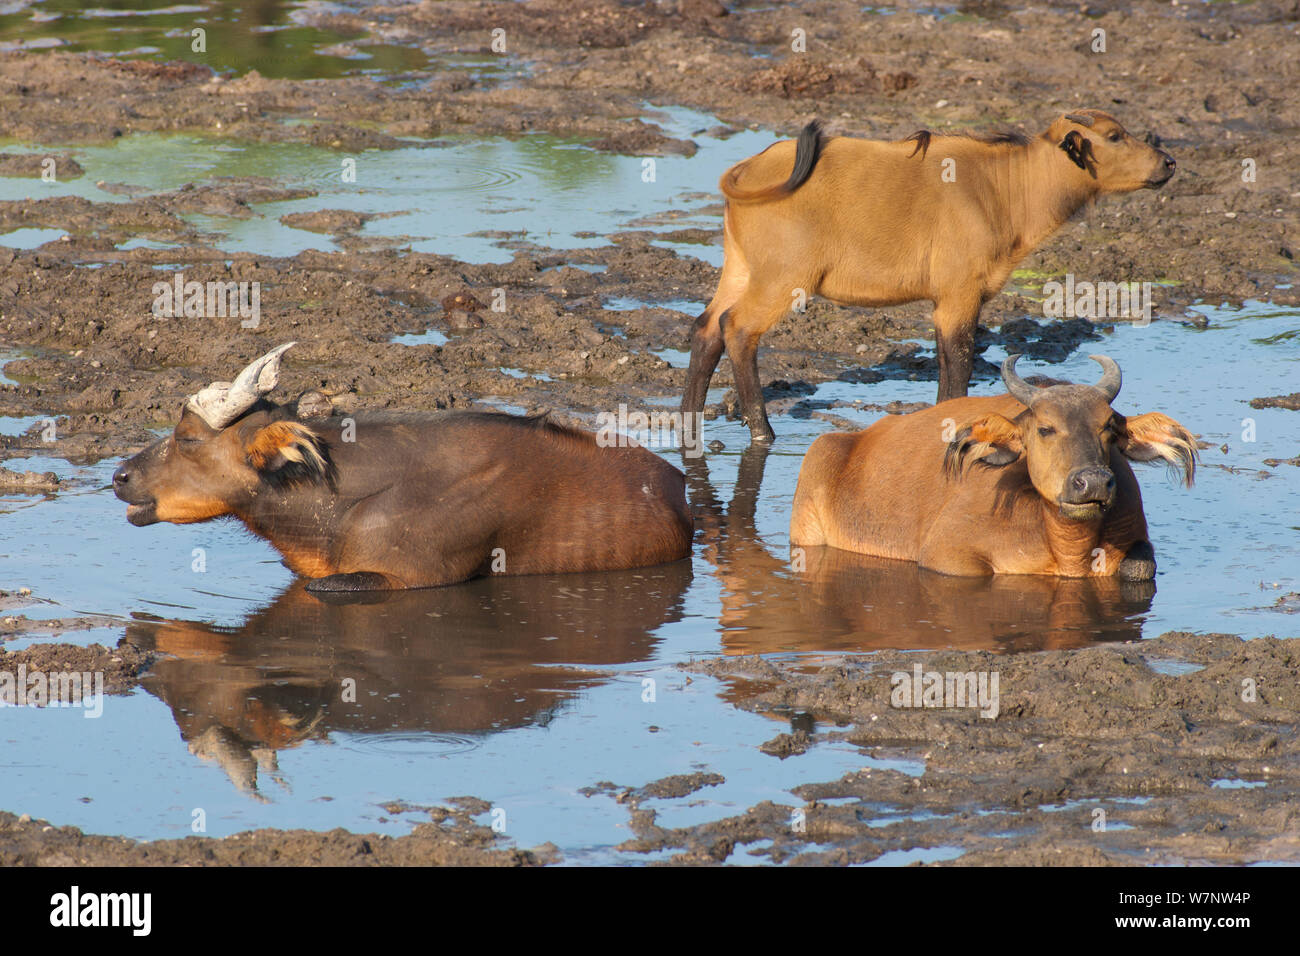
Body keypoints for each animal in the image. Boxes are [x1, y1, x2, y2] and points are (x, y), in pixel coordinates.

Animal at [681, 109, 1177, 443]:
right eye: (1115, 135)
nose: (1168, 162)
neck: (1000, 187)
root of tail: (750, 169)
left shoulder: (945, 303)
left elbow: (944, 365)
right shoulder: (961, 296)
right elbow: (959, 365)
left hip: (740, 269)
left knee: (706, 328)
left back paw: (688, 421)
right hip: (783, 279)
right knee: (737, 329)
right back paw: (762, 431)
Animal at [789, 355, 1197, 578]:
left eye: (1109, 428)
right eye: (1045, 428)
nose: (1093, 481)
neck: (1068, 547)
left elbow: (1140, 566)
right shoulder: (946, 555)